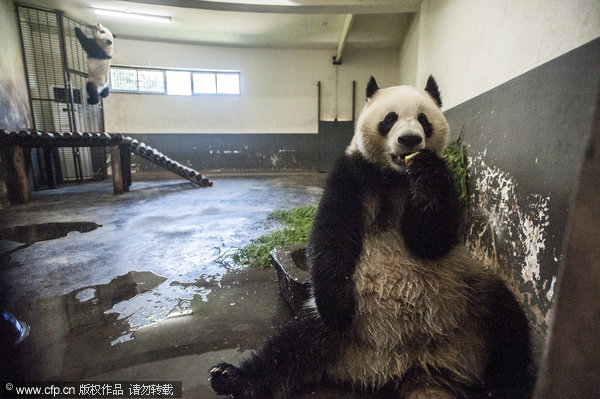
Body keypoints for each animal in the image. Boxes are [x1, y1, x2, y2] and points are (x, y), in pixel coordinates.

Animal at [209, 76, 532, 398]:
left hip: (467, 295)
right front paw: (338, 308)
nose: (410, 140)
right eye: (390, 119)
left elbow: (430, 240)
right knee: (290, 348)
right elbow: (332, 236)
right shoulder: (351, 175)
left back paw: (501, 387)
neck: (395, 176)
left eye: (423, 120)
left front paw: (426, 171)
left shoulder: (440, 184)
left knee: (508, 328)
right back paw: (231, 376)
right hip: (338, 328)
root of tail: (413, 367)